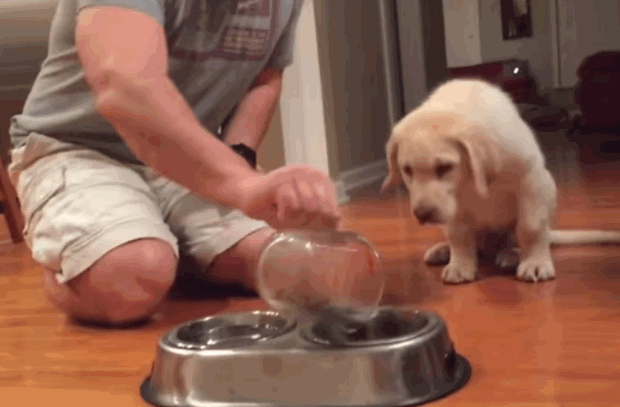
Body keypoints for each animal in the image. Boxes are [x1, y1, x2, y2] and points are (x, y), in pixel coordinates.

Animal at [380, 79, 620, 284]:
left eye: (445, 167)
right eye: (407, 170)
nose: (422, 214)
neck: (473, 178)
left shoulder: (533, 182)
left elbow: (530, 228)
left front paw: (534, 263)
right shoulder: (455, 209)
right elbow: (459, 236)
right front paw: (460, 265)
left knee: (523, 237)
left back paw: (511, 254)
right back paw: (444, 250)